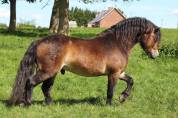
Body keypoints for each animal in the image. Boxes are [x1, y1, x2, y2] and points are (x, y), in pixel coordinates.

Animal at [8, 17, 161, 105]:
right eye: (155, 38)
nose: (155, 55)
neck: (117, 42)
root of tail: (40, 41)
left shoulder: (119, 72)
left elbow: (130, 80)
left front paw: (123, 97)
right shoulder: (113, 73)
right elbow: (110, 91)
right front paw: (110, 105)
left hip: (52, 72)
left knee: (45, 88)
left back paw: (49, 103)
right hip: (48, 71)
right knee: (31, 82)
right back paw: (28, 103)